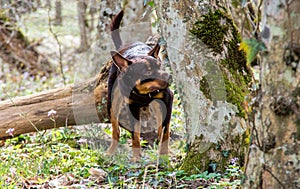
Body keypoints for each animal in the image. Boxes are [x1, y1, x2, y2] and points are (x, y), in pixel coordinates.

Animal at [106, 10, 172, 162]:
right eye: (147, 72)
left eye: (160, 65)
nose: (169, 77)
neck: (144, 93)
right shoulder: (132, 107)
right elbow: (135, 135)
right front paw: (136, 158)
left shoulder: (168, 99)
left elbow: (165, 130)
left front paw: (164, 155)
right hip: (112, 102)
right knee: (115, 130)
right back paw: (110, 151)